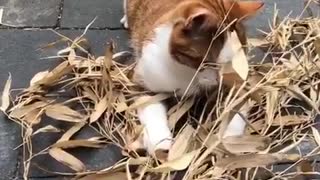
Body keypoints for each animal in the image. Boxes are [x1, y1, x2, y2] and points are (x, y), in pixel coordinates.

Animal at [121, 0, 264, 155]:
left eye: (235, 65)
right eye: (208, 62)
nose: (218, 80)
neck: (188, 72)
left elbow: (237, 102)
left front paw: (231, 139)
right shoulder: (141, 79)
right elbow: (150, 106)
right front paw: (160, 142)